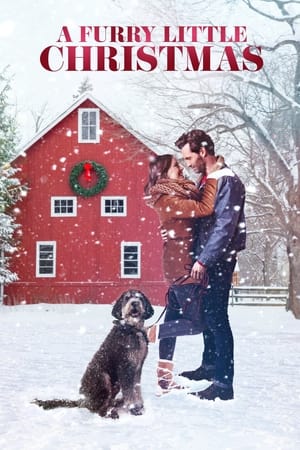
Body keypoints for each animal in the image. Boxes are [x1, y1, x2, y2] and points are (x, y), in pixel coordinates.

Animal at [32, 290, 154, 420]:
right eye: (127, 298)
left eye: (140, 298)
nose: (134, 303)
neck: (133, 329)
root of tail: (84, 400)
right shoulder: (125, 367)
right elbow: (130, 391)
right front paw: (134, 409)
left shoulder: (137, 367)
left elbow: (137, 388)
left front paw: (139, 406)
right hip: (103, 379)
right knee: (98, 410)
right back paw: (110, 414)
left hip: (114, 384)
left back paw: (116, 404)